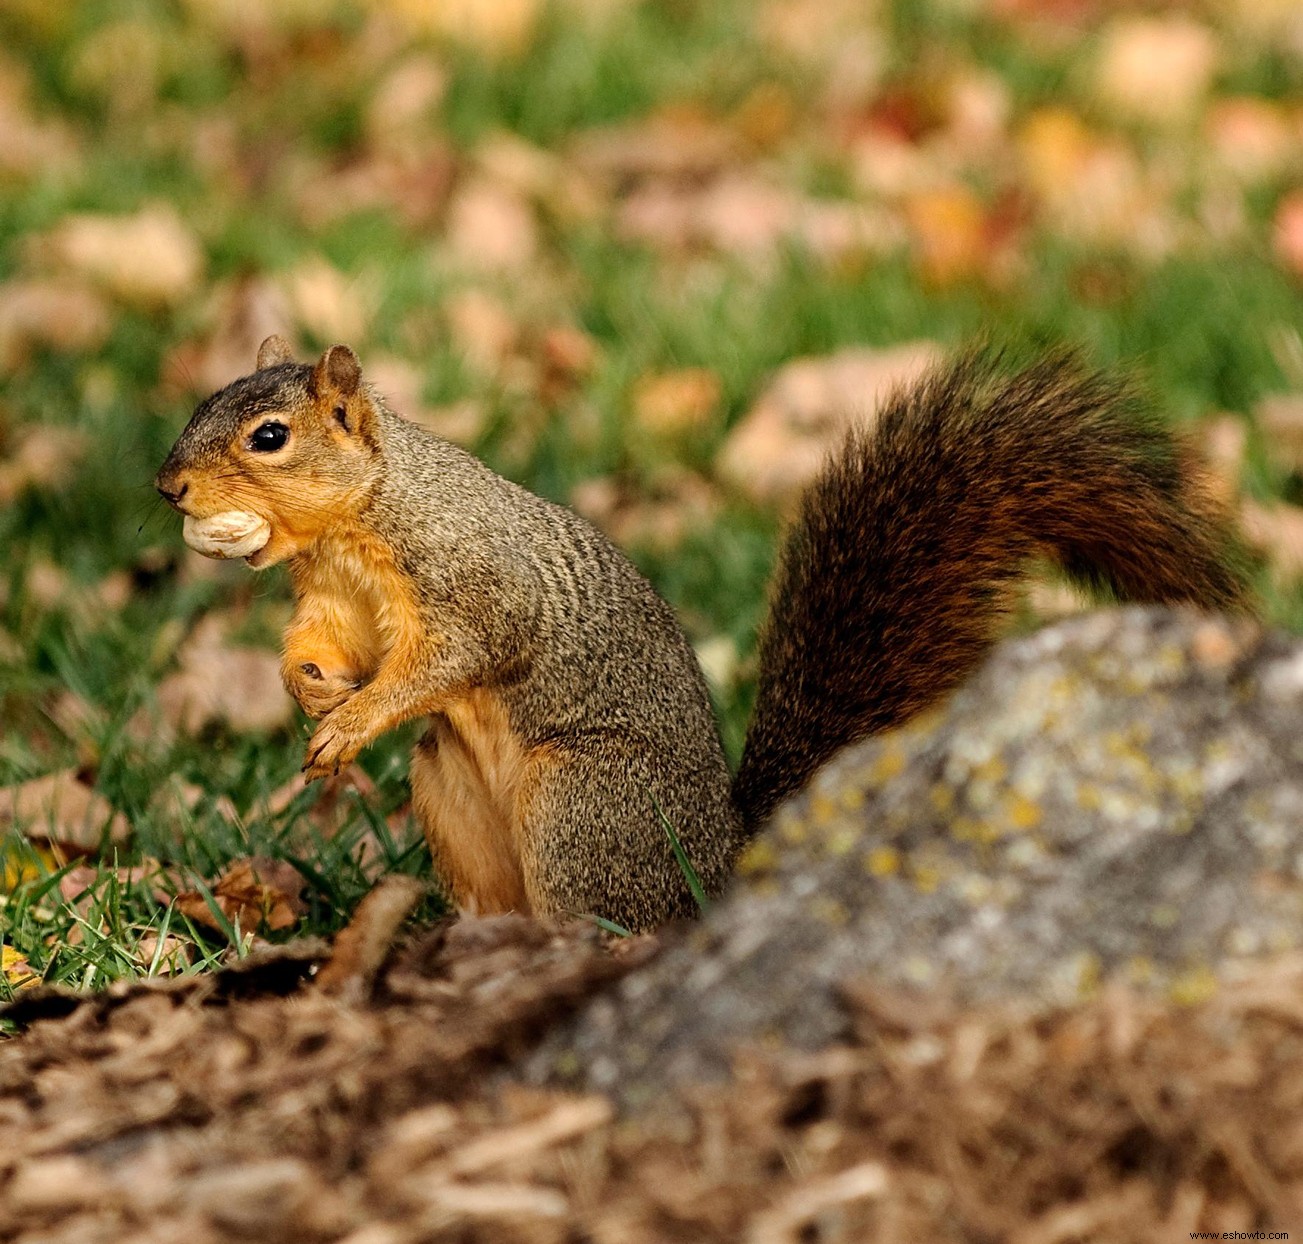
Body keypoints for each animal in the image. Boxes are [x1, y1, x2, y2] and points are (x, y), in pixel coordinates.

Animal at [152, 336, 1250, 927]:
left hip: (582, 798)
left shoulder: (472, 579)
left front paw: (356, 715)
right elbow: (325, 645)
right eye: (203, 404)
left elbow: (457, 654)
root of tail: (722, 860)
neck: (356, 521)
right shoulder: (334, 597)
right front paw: (309, 689)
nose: (168, 488)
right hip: (451, 797)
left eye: (269, 437)